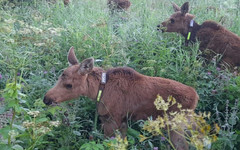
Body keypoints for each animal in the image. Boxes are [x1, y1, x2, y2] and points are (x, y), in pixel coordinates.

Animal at [43, 47, 199, 150]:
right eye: (59, 77)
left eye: (69, 85)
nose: (46, 99)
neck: (99, 90)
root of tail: (196, 97)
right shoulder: (123, 121)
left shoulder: (111, 120)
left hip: (175, 123)